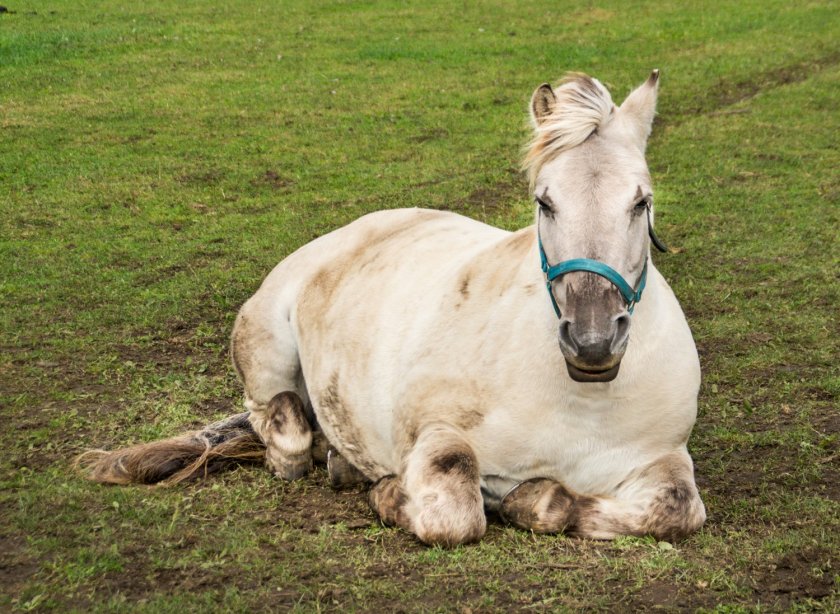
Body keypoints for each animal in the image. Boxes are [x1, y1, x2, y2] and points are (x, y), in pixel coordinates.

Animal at [80, 71, 708, 548]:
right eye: (544, 202)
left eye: (642, 201)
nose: (593, 340)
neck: (580, 399)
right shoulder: (434, 434)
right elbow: (454, 512)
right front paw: (388, 492)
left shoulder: (662, 459)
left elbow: (676, 510)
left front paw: (534, 497)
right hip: (264, 345)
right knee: (281, 431)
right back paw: (333, 458)